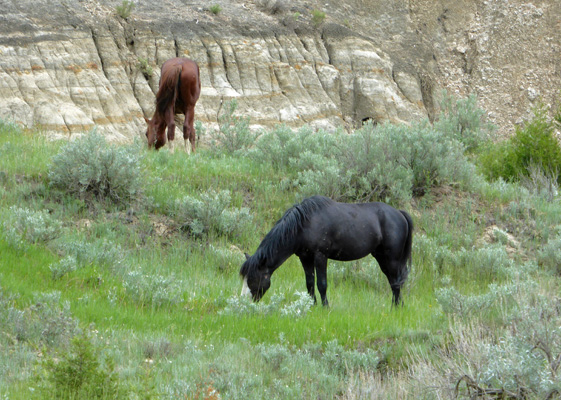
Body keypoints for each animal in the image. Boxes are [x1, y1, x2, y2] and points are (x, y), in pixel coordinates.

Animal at [238, 196, 414, 306]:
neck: (304, 225)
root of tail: (400, 213)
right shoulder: (305, 257)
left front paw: (325, 307)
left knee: (396, 283)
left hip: (391, 258)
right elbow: (309, 283)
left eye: (252, 278)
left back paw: (395, 308)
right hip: (381, 257)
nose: (244, 302)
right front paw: (312, 305)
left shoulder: (320, 256)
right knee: (393, 282)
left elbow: (322, 284)